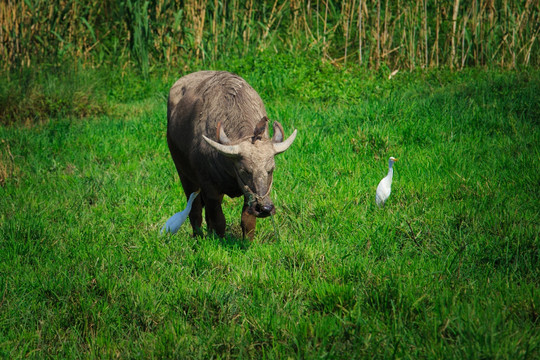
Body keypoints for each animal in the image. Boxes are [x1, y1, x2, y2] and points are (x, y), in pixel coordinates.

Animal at [167, 70, 298, 239]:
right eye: (245, 170)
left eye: (271, 169)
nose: (265, 208)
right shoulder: (210, 188)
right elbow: (218, 221)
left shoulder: (247, 194)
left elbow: (247, 221)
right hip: (184, 175)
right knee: (194, 211)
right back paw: (198, 236)